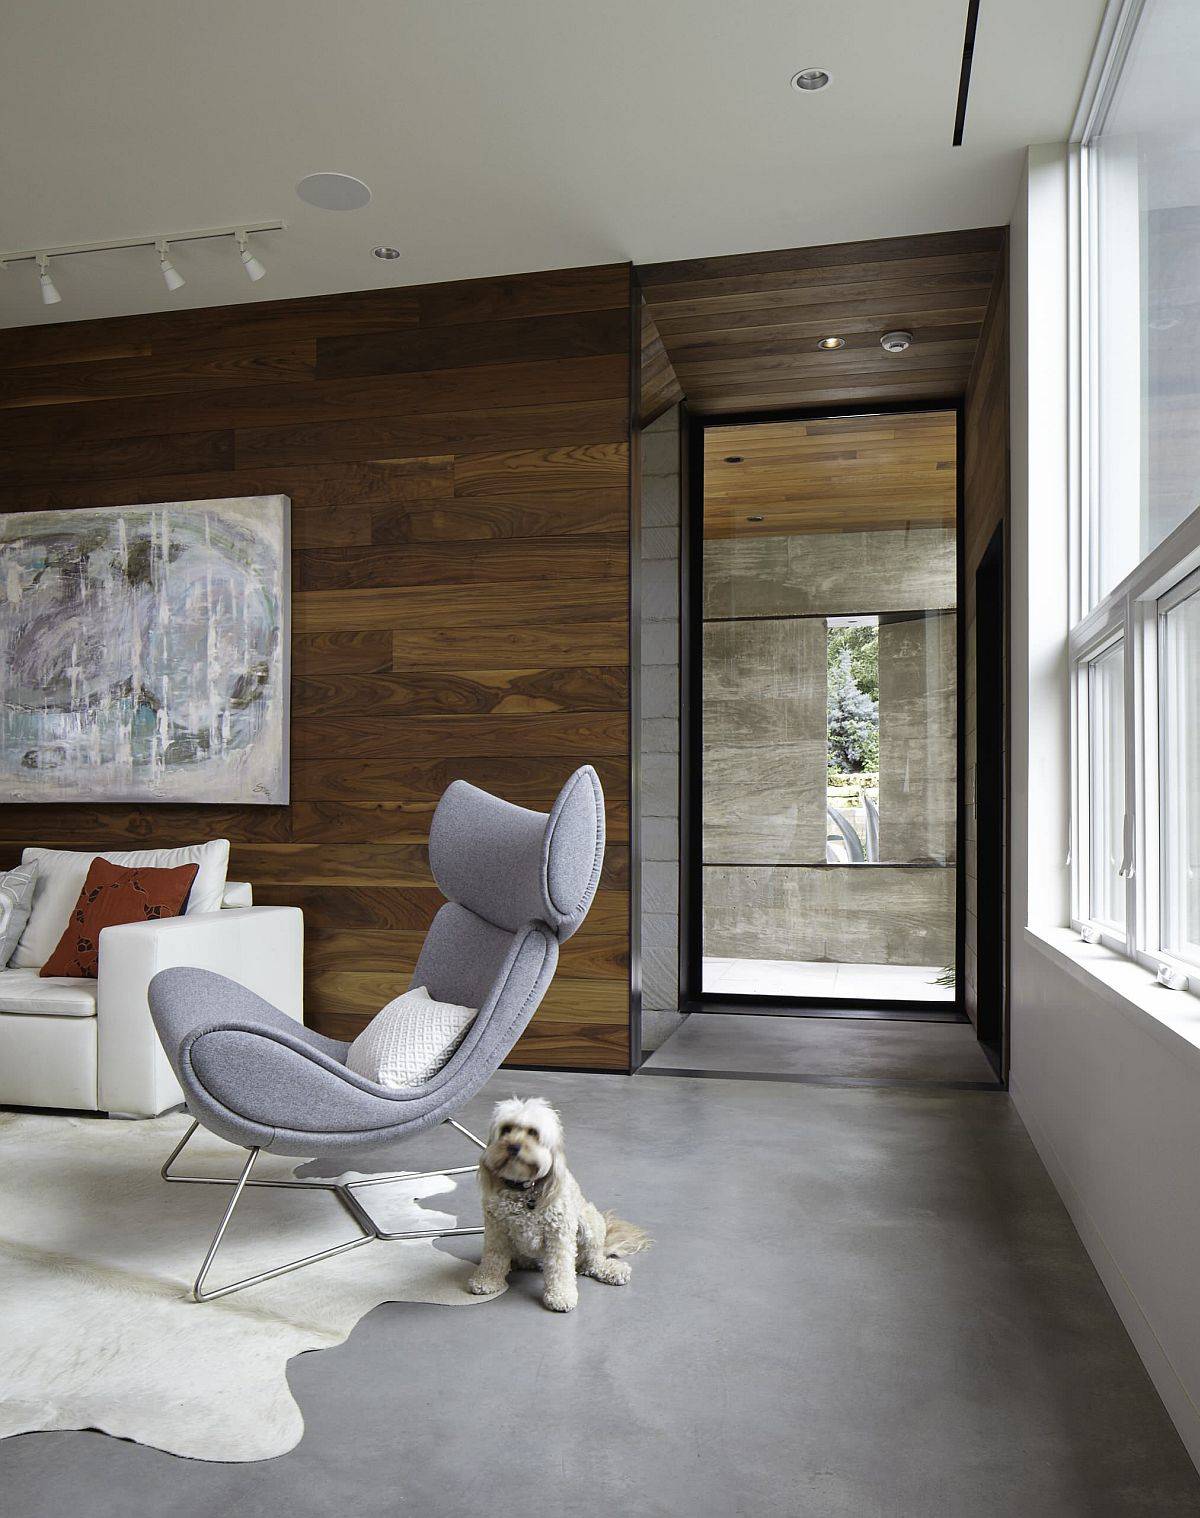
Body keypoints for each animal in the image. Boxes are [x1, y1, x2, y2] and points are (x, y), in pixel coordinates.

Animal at [470, 1099, 658, 1311]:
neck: (524, 1191)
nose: (513, 1146)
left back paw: (610, 1269)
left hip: (590, 1223)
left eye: (533, 1132)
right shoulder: (496, 1230)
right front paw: (487, 1280)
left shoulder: (559, 1234)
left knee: (592, 1260)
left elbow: (560, 1267)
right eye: (506, 1129)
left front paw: (561, 1295)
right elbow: (493, 1257)